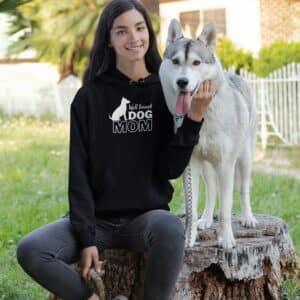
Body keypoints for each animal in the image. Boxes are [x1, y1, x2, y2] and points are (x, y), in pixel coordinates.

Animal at [159, 19, 258, 251]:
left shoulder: (226, 166)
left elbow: (225, 209)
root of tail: (233, 74)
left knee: (243, 190)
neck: (203, 117)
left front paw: (227, 240)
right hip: (205, 166)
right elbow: (192, 208)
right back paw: (205, 219)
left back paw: (247, 218)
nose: (182, 82)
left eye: (196, 63)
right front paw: (189, 239)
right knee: (212, 191)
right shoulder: (191, 165)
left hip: (244, 160)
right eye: (176, 61)